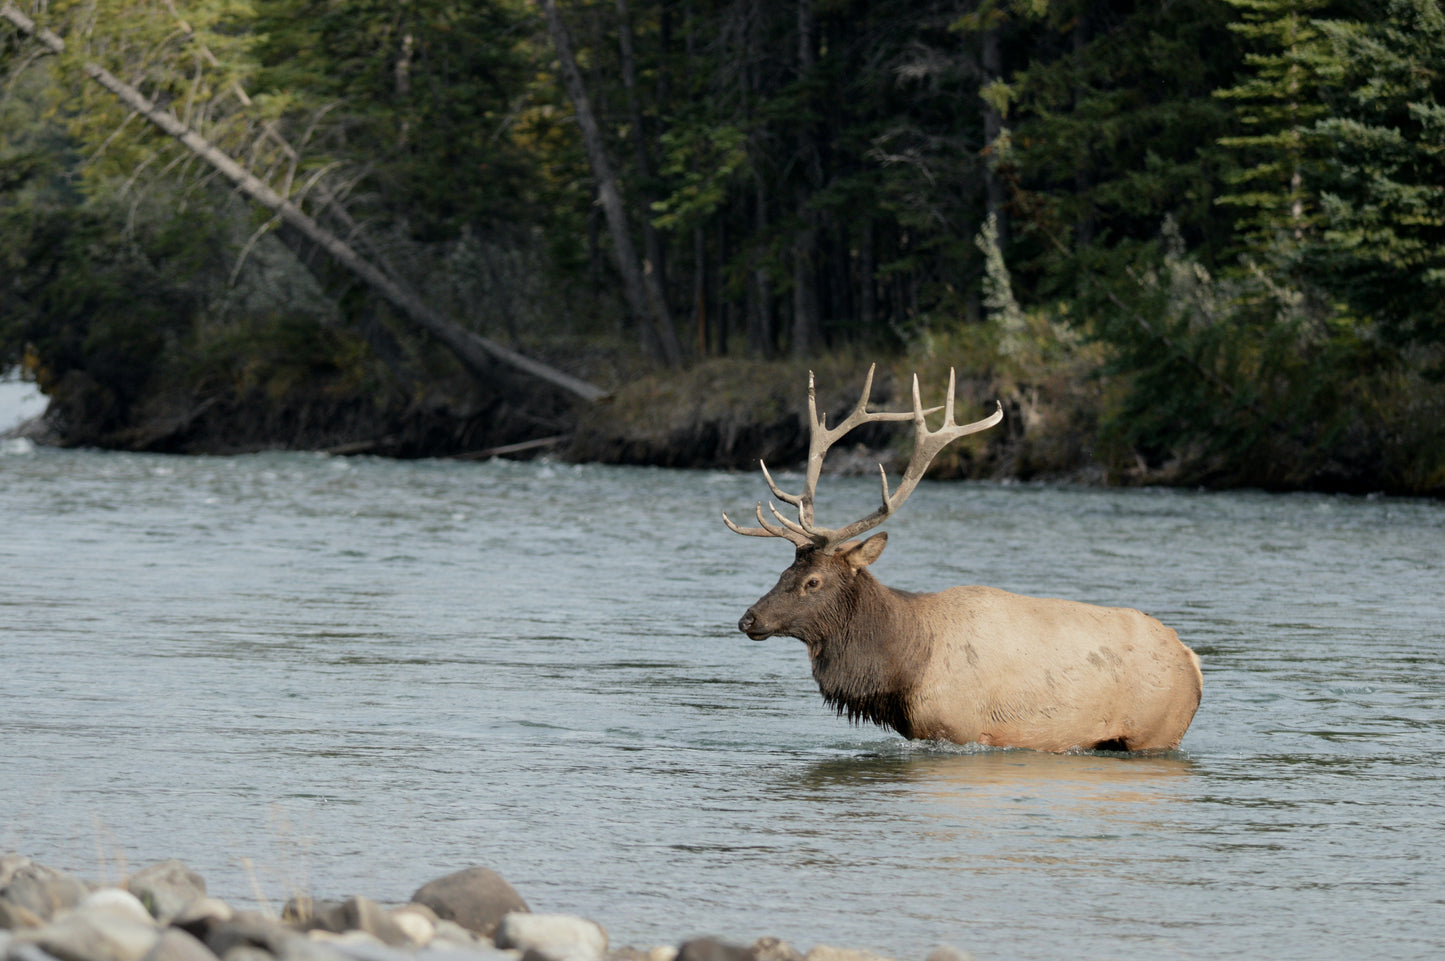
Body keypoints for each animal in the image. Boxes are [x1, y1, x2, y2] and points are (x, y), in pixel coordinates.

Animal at [723, 365, 1202, 753]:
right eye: (785, 571)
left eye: (813, 581)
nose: (748, 619)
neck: (903, 667)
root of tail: (1192, 661)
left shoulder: (961, 730)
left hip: (1157, 734)